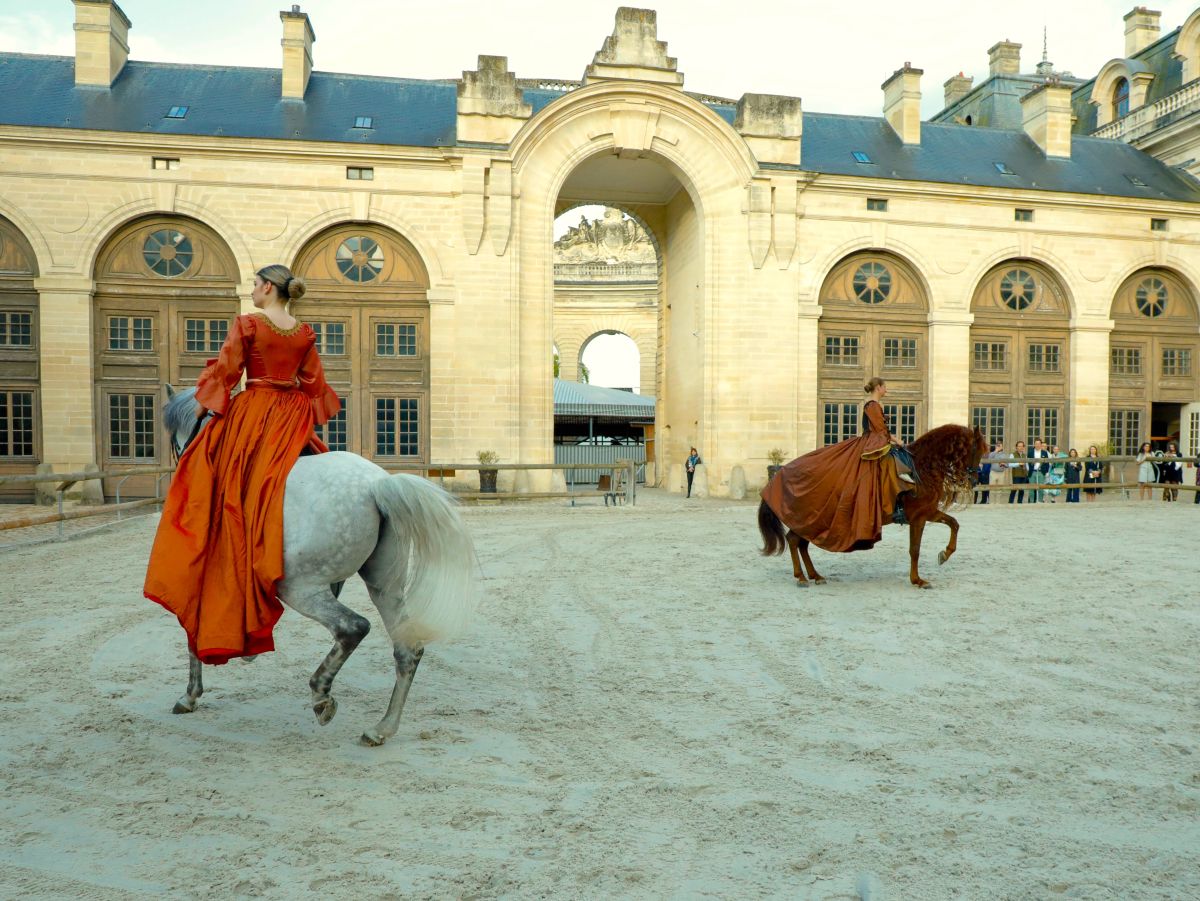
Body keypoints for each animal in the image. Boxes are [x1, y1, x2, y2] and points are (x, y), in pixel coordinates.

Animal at [160, 388, 477, 748]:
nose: (179, 459)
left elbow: (191, 634)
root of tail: (376, 486)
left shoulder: (199, 580)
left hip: (301, 588)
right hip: (385, 586)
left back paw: (322, 696)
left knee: (353, 627)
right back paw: (381, 728)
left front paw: (189, 695)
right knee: (407, 649)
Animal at [758, 424, 984, 587]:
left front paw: (945, 554)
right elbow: (915, 549)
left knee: (800, 543)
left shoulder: (928, 512)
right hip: (810, 520)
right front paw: (918, 580)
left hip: (812, 522)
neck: (922, 467)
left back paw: (815, 575)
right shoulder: (919, 517)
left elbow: (954, 524)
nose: (974, 480)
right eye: (976, 451)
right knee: (794, 540)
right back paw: (802, 577)